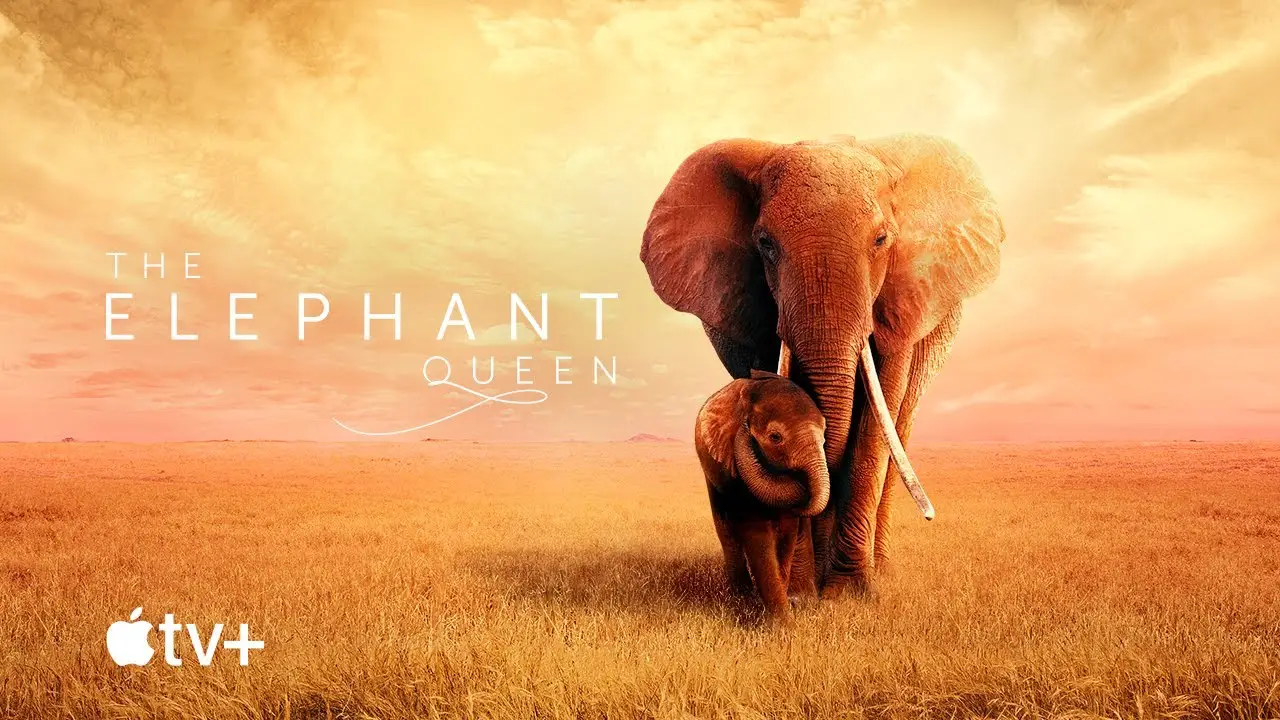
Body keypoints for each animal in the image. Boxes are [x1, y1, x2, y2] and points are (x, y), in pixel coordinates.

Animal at [642, 133, 1004, 597]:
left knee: (899, 429)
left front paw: (849, 593)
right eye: (765, 244)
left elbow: (873, 430)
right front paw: (801, 593)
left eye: (881, 240)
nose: (931, 515)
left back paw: (877, 569)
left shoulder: (903, 301)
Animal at [694, 367, 829, 623]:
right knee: (726, 531)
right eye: (775, 437)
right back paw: (740, 596)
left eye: (824, 436)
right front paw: (780, 624)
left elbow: (787, 533)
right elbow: (757, 533)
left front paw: (785, 603)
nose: (745, 428)